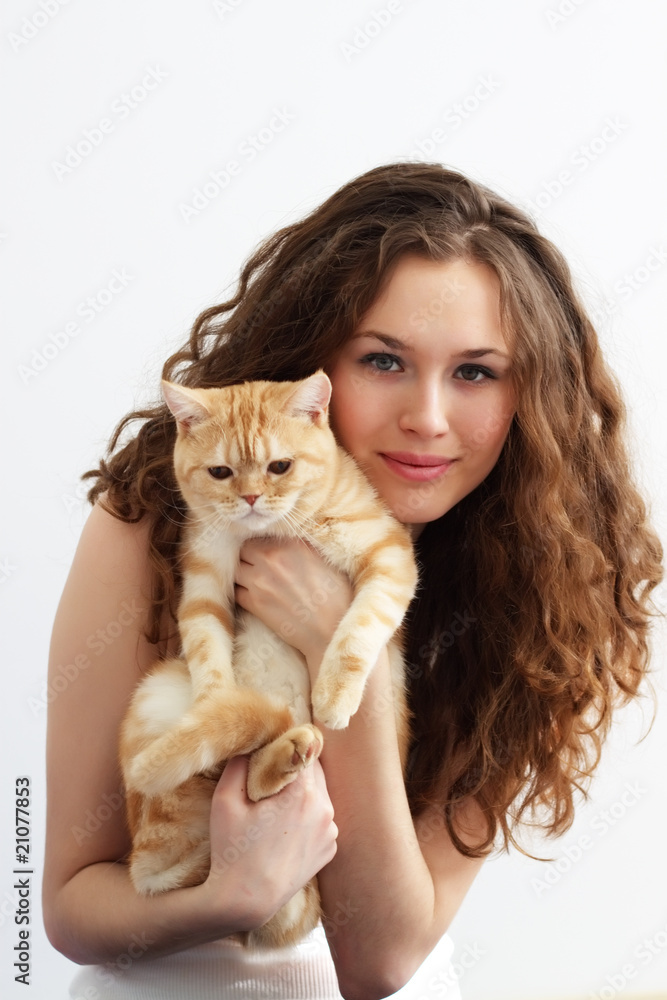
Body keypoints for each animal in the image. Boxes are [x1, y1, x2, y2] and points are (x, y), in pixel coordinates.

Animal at [117, 372, 414, 948]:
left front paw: (335, 697)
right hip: (159, 690)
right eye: (221, 472)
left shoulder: (388, 554)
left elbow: (360, 628)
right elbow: (207, 652)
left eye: (280, 466)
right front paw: (214, 703)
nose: (252, 497)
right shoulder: (204, 581)